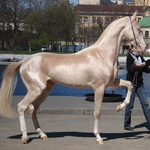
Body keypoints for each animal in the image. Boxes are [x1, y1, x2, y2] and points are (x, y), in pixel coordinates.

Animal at [0, 11, 146, 144]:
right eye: (138, 29)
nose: (144, 47)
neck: (102, 54)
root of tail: (24, 61)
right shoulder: (99, 88)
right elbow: (97, 112)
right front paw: (98, 137)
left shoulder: (111, 83)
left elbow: (130, 85)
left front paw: (120, 107)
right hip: (35, 90)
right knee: (21, 107)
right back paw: (24, 137)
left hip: (45, 90)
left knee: (32, 109)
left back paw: (43, 135)